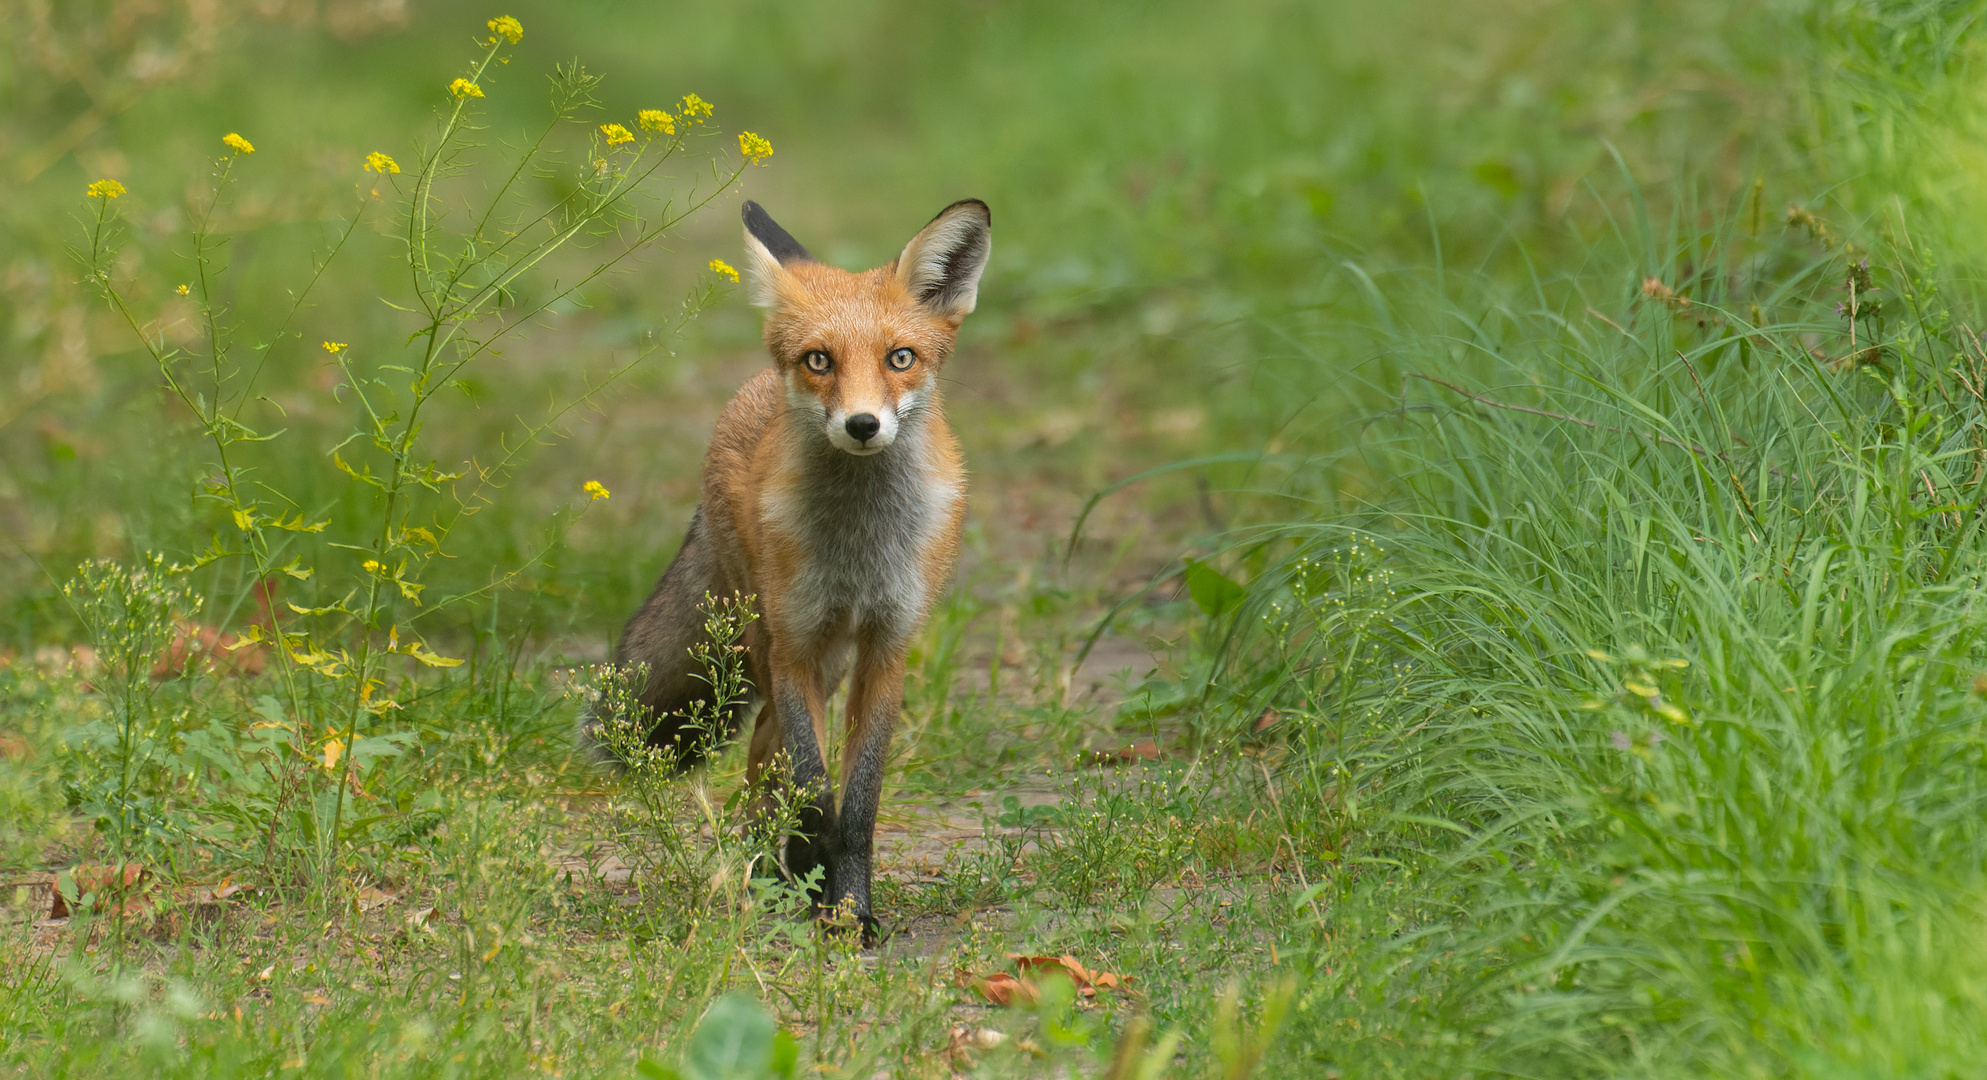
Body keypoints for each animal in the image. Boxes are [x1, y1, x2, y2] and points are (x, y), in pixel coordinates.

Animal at [592, 198, 989, 941]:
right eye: (818, 360)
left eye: (900, 358)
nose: (862, 424)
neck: (858, 547)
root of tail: (749, 393)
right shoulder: (794, 644)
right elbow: (810, 788)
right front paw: (812, 881)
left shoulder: (887, 646)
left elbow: (858, 803)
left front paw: (851, 907)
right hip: (767, 639)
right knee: (763, 763)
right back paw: (765, 880)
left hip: (826, 662)